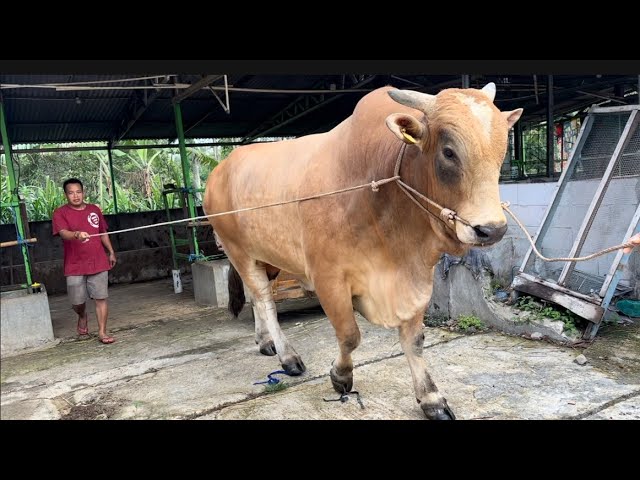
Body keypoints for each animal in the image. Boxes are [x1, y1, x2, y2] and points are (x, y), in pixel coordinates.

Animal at [202, 83, 524, 420]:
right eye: (448, 152)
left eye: (501, 152)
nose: (492, 230)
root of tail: (220, 169)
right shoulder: (328, 278)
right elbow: (349, 335)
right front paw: (341, 376)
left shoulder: (416, 276)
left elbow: (415, 340)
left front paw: (431, 398)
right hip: (238, 250)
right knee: (265, 300)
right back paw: (287, 356)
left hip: (267, 256)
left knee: (256, 296)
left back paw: (265, 342)